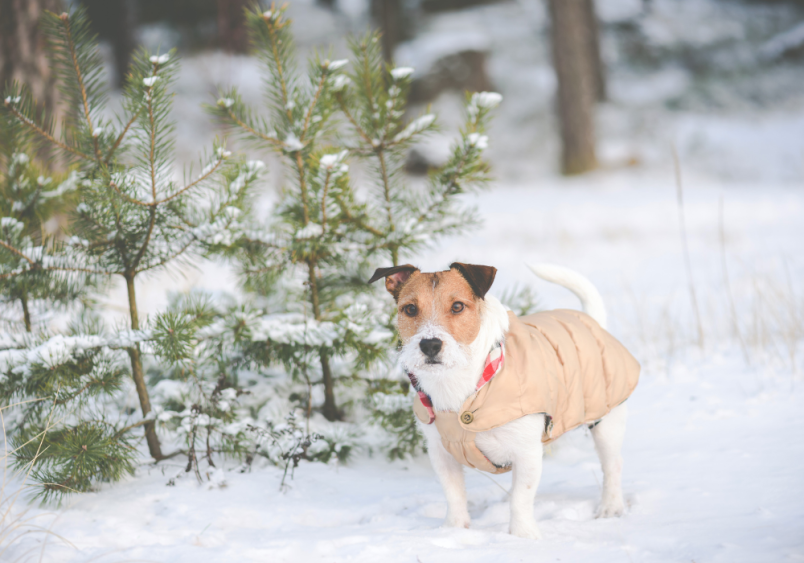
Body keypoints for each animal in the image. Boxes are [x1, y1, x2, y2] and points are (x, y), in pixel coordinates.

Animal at [366, 262, 640, 540]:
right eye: (410, 309)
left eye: (457, 306)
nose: (429, 345)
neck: (462, 385)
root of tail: (592, 321)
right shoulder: (441, 452)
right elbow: (454, 495)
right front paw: (454, 530)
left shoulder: (527, 452)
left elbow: (521, 498)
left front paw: (521, 536)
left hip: (606, 421)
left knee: (612, 464)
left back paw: (610, 506)